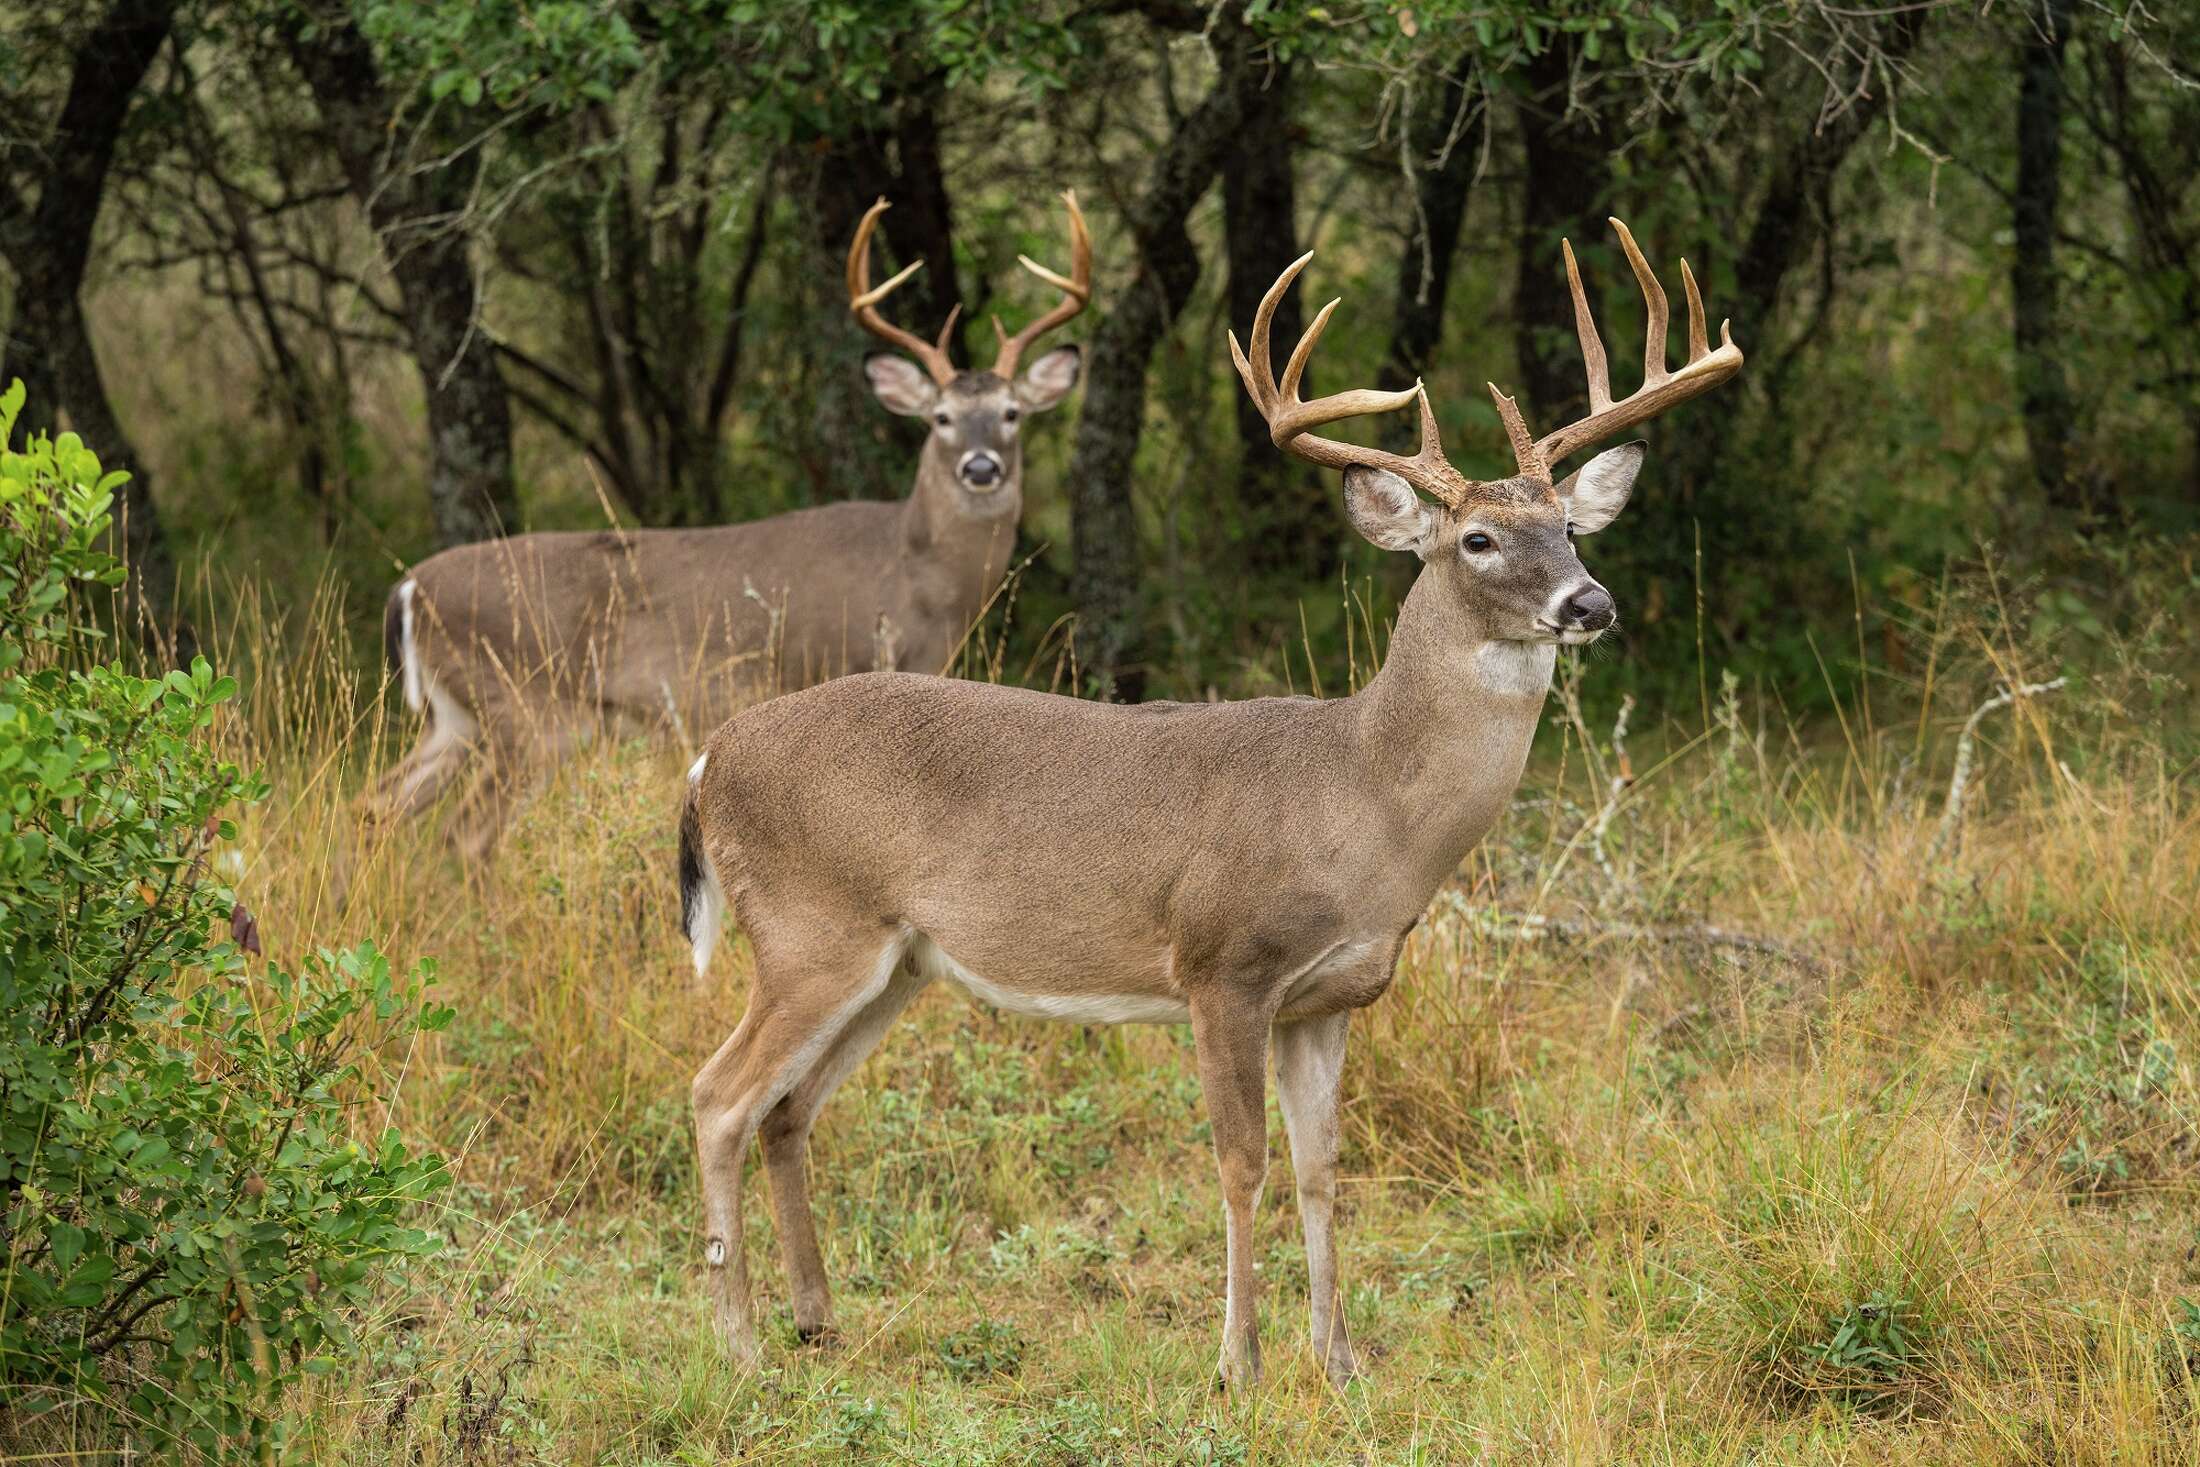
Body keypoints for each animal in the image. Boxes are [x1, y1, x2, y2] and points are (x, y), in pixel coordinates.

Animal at [360, 192, 1091, 860]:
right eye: (941, 417)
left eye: (1011, 413)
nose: (980, 467)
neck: (921, 574)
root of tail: (407, 589)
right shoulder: (851, 666)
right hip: (530, 711)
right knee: (464, 835)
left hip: (457, 718)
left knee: (375, 805)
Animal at [676, 218, 1742, 1388]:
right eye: (1478, 539)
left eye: (1569, 527)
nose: (1588, 602)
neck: (1361, 798)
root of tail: (707, 761)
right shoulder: (1222, 965)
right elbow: (1242, 1164)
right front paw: (1240, 1363)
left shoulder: (1329, 998)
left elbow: (1322, 1168)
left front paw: (1340, 1361)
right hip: (807, 927)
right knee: (718, 1096)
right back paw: (737, 1346)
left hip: (895, 961)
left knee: (788, 1108)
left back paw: (816, 1318)